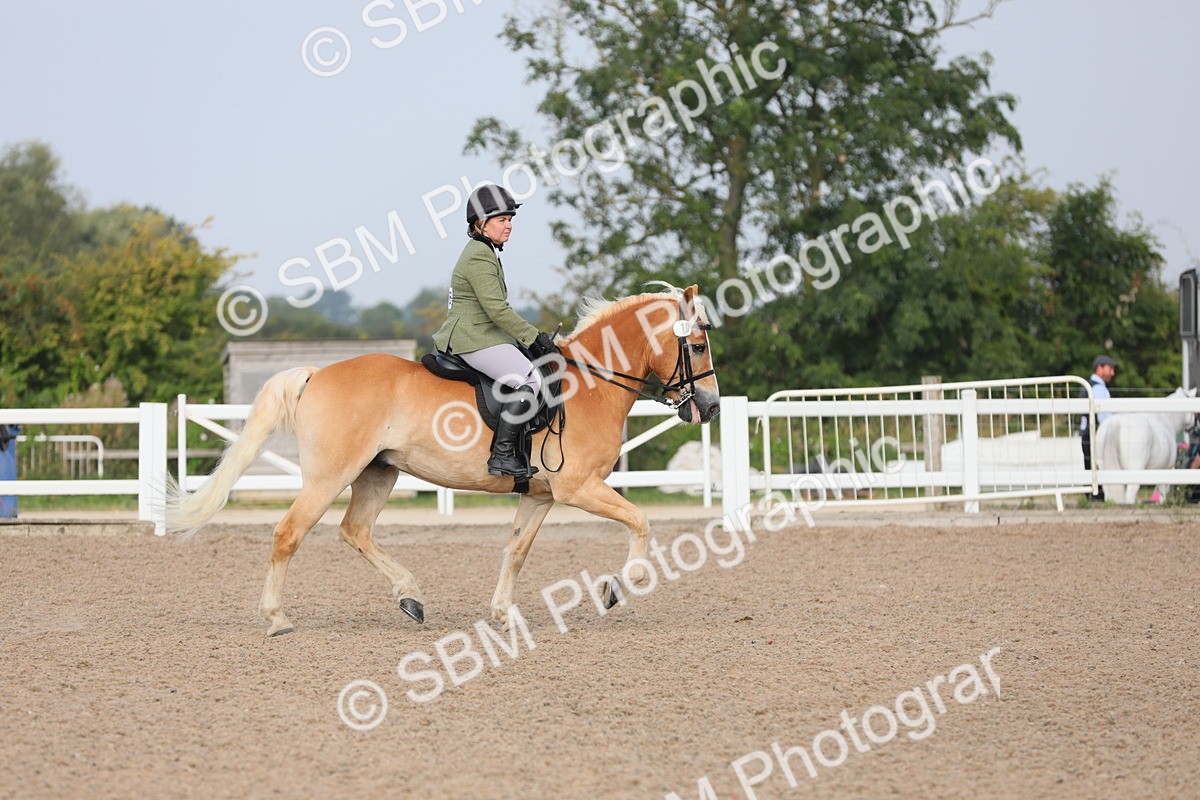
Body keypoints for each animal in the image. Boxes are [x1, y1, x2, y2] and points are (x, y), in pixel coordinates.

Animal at [166, 284, 721, 636]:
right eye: (696, 345)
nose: (712, 407)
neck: (588, 384)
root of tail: (317, 373)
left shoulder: (541, 497)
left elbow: (516, 551)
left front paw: (505, 616)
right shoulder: (578, 488)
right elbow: (641, 521)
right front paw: (619, 588)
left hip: (378, 474)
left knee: (355, 530)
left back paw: (410, 597)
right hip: (329, 477)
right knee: (289, 534)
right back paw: (277, 619)